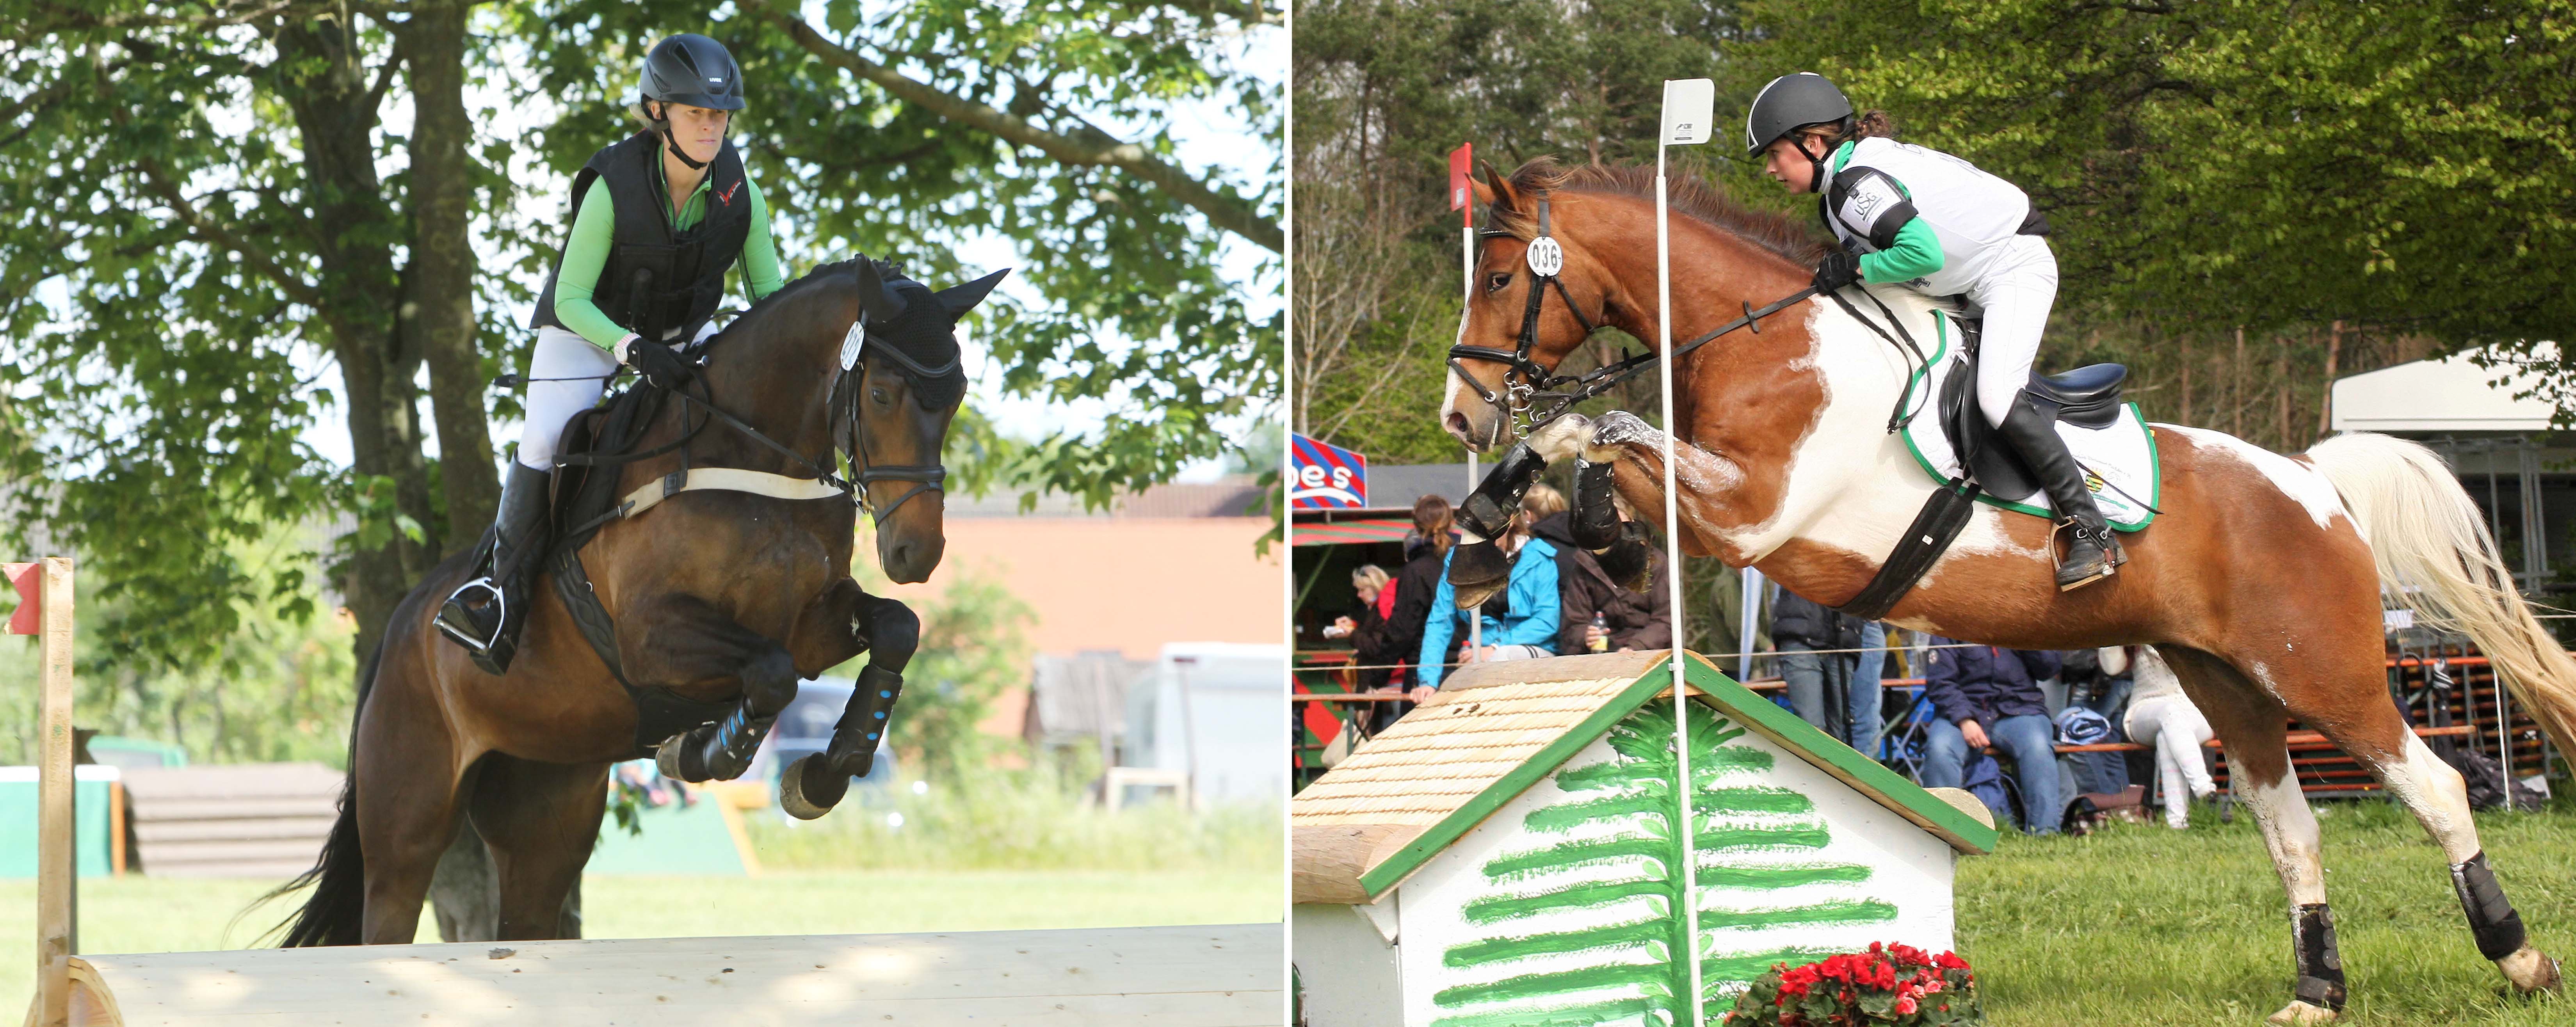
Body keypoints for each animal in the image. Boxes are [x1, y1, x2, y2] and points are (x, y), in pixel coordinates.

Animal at [274, 260, 1005, 947]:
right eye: (881, 394)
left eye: (957, 399)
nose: (917, 553)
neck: (757, 462)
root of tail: (399, 627)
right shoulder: (653, 638)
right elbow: (770, 673)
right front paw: (703, 753)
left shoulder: (812, 624)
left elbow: (893, 630)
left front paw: (826, 772)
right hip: (409, 819)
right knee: (391, 905)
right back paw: (480, 619)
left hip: (546, 804)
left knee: (527, 910)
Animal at [1443, 157, 2565, 1024]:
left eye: (1497, 274)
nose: (1460, 415)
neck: (1765, 345)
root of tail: (2309, 480)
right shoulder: (1731, 514)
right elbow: (1578, 435)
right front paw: (1495, 531)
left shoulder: (1753, 517)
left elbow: (1602, 427)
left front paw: (1566, 523)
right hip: (2228, 682)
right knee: (2293, 829)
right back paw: (2317, 992)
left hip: (2323, 670)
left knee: (2437, 787)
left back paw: (2519, 957)